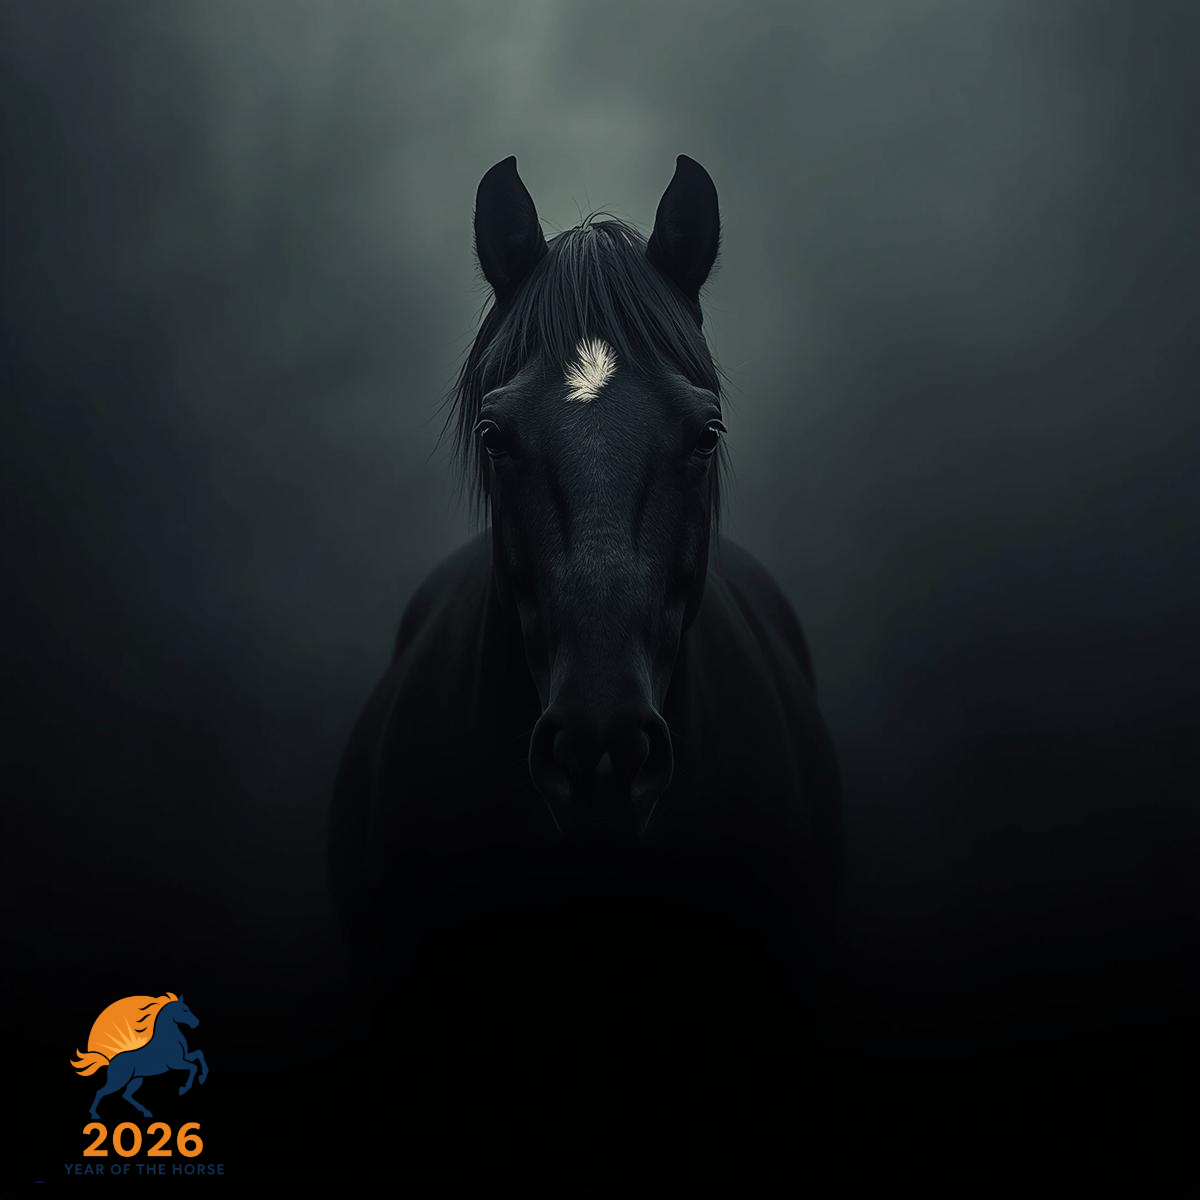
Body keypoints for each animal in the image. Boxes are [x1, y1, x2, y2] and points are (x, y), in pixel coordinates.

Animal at [74, 997, 207, 1120]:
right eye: (184, 1010)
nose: (197, 1022)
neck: (168, 1038)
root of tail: (109, 1062)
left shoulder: (184, 1057)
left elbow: (199, 1054)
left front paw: (202, 1077)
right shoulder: (175, 1063)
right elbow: (193, 1067)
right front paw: (183, 1089)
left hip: (136, 1079)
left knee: (126, 1095)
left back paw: (147, 1112)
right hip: (118, 1081)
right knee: (101, 1092)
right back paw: (94, 1114)